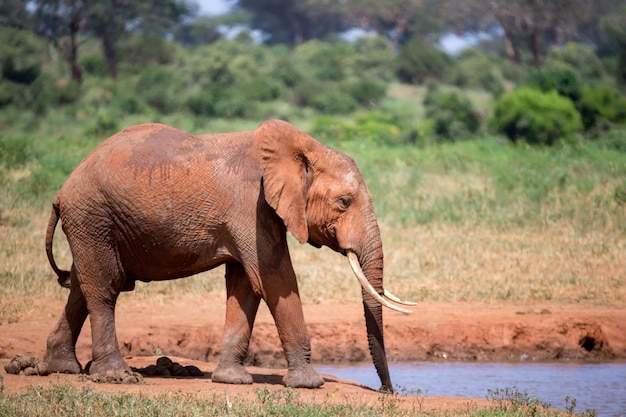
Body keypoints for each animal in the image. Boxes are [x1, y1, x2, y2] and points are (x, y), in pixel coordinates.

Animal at [45, 118, 414, 392]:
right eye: (344, 202)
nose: (387, 391)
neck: (302, 148)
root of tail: (62, 191)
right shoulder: (249, 204)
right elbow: (275, 279)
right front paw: (309, 384)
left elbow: (245, 286)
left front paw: (231, 380)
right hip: (93, 217)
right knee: (104, 288)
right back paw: (116, 377)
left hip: (92, 224)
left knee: (80, 286)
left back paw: (61, 368)